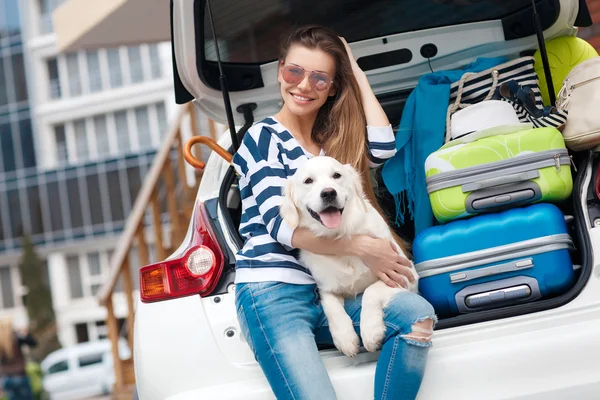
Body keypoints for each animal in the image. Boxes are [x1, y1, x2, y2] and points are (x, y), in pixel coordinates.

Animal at [280, 155, 418, 356]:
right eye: (308, 181)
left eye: (336, 175)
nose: (328, 193)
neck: (340, 235)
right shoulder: (326, 288)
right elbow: (331, 306)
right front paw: (344, 337)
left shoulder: (406, 274)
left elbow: (371, 291)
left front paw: (371, 331)